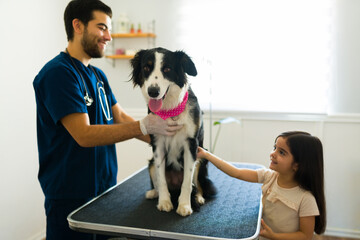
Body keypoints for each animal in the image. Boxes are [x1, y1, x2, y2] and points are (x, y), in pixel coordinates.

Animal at [131, 47, 215, 216]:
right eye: (146, 68)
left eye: (167, 69)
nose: (153, 91)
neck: (170, 110)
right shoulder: (157, 143)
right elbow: (161, 178)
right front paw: (164, 202)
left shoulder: (191, 144)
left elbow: (188, 180)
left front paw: (184, 205)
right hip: (151, 164)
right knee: (157, 180)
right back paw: (154, 193)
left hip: (201, 157)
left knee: (198, 184)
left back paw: (198, 196)